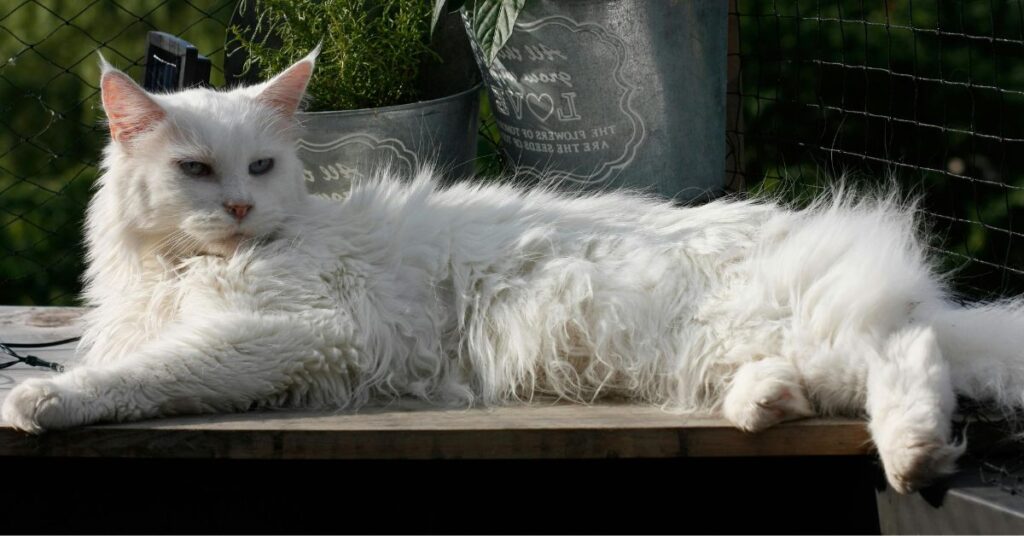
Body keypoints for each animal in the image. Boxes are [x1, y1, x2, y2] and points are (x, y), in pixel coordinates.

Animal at [4, 51, 1019, 496]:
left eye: (258, 167)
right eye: (194, 171)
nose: (243, 210)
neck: (182, 271)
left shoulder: (295, 335)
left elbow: (150, 372)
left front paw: (44, 400)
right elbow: (134, 356)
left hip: (811, 324)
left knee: (910, 356)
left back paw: (913, 456)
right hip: (757, 340)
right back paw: (763, 405)